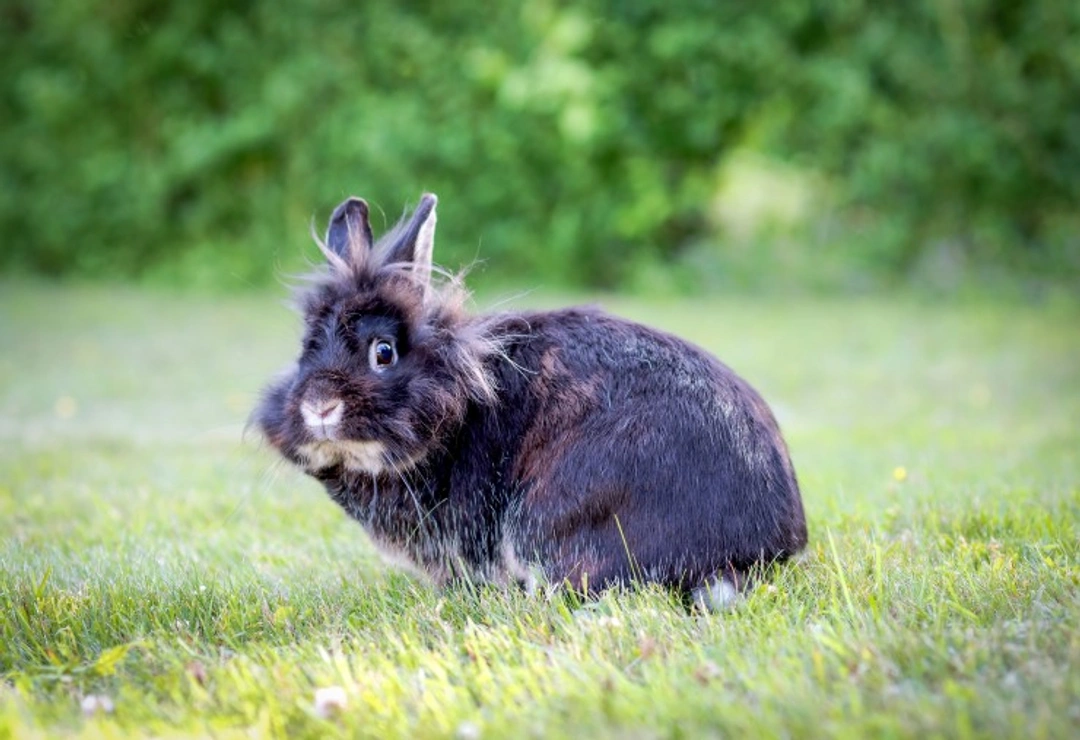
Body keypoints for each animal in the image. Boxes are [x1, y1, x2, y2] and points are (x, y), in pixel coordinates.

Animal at [254, 193, 808, 609]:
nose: (318, 407)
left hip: (549, 519)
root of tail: (750, 550)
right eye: (306, 350)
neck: (459, 401)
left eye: (383, 352)